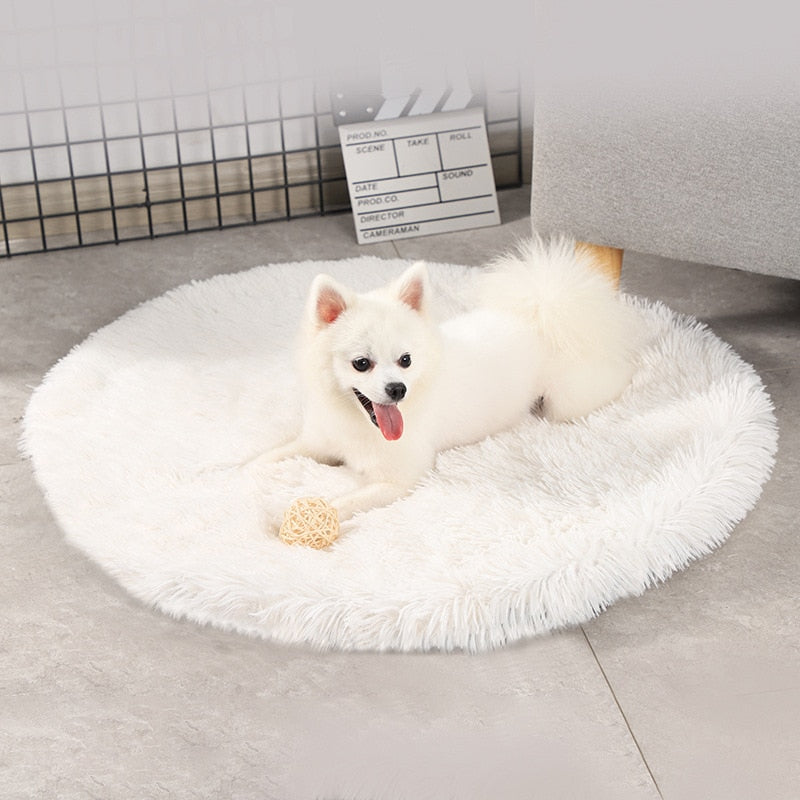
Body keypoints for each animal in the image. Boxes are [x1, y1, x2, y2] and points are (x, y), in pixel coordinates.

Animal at [260, 238, 640, 524]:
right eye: (361, 364)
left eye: (406, 360)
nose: (397, 389)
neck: (355, 422)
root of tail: (539, 315)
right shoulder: (316, 441)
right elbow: (263, 459)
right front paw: (246, 476)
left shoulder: (399, 480)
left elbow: (342, 502)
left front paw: (289, 518)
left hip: (569, 401)